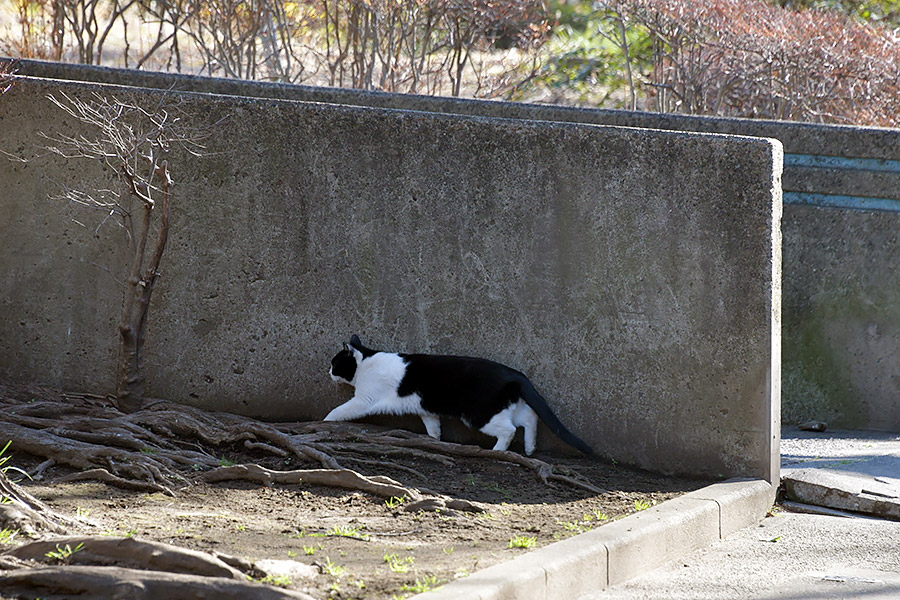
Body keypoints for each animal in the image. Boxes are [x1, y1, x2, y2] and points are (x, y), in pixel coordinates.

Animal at [324, 332, 592, 454]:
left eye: (335, 363)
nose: (328, 371)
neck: (365, 362)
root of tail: (516, 374)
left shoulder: (363, 400)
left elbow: (339, 410)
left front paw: (325, 422)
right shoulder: (425, 408)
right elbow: (433, 426)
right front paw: (435, 440)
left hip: (481, 414)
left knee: (509, 429)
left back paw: (498, 451)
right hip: (503, 407)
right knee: (530, 417)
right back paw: (529, 448)